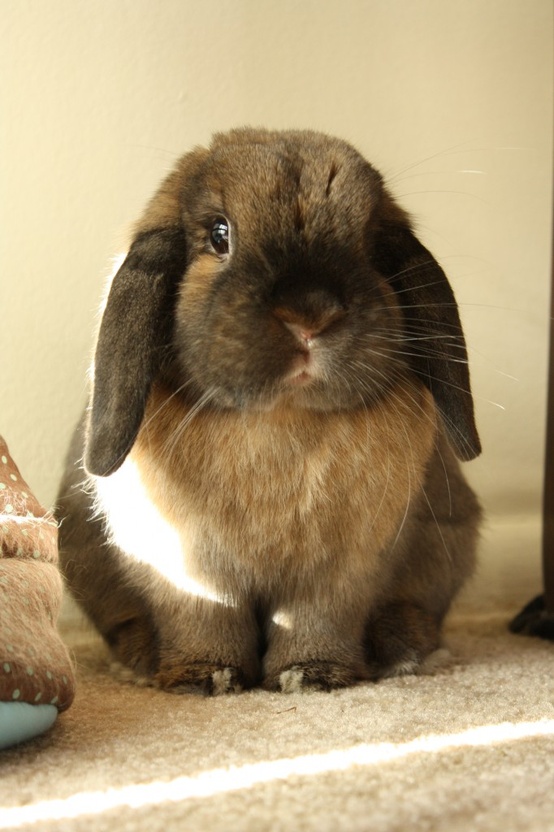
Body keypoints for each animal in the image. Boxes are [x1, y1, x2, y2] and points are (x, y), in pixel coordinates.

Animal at [56, 127, 482, 694]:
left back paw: (403, 651)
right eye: (219, 234)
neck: (281, 420)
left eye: (370, 246)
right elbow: (204, 619)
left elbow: (318, 621)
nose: (310, 313)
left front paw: (312, 675)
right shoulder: (188, 571)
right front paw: (205, 678)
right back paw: (141, 660)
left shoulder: (340, 573)